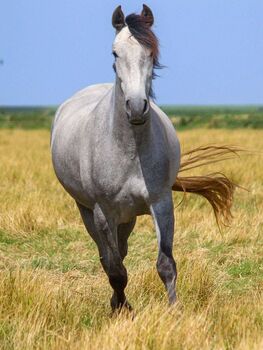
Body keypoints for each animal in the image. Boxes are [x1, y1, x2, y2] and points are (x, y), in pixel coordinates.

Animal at [51, 4, 237, 312]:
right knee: (108, 257)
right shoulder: (103, 212)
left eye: (151, 52)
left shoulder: (161, 204)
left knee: (121, 251)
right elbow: (115, 268)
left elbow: (165, 264)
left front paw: (175, 311)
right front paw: (123, 309)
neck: (130, 150)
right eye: (115, 53)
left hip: (127, 218)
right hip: (88, 210)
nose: (137, 108)